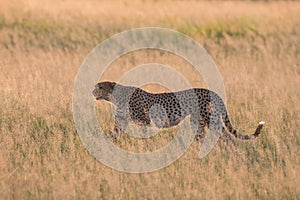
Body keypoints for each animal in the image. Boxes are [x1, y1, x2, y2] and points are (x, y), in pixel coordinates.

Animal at [92, 81, 264, 141]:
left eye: (100, 87)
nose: (92, 92)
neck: (115, 97)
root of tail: (213, 92)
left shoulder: (144, 122)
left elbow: (145, 139)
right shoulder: (120, 124)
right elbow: (110, 135)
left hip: (211, 119)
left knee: (226, 137)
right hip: (198, 123)